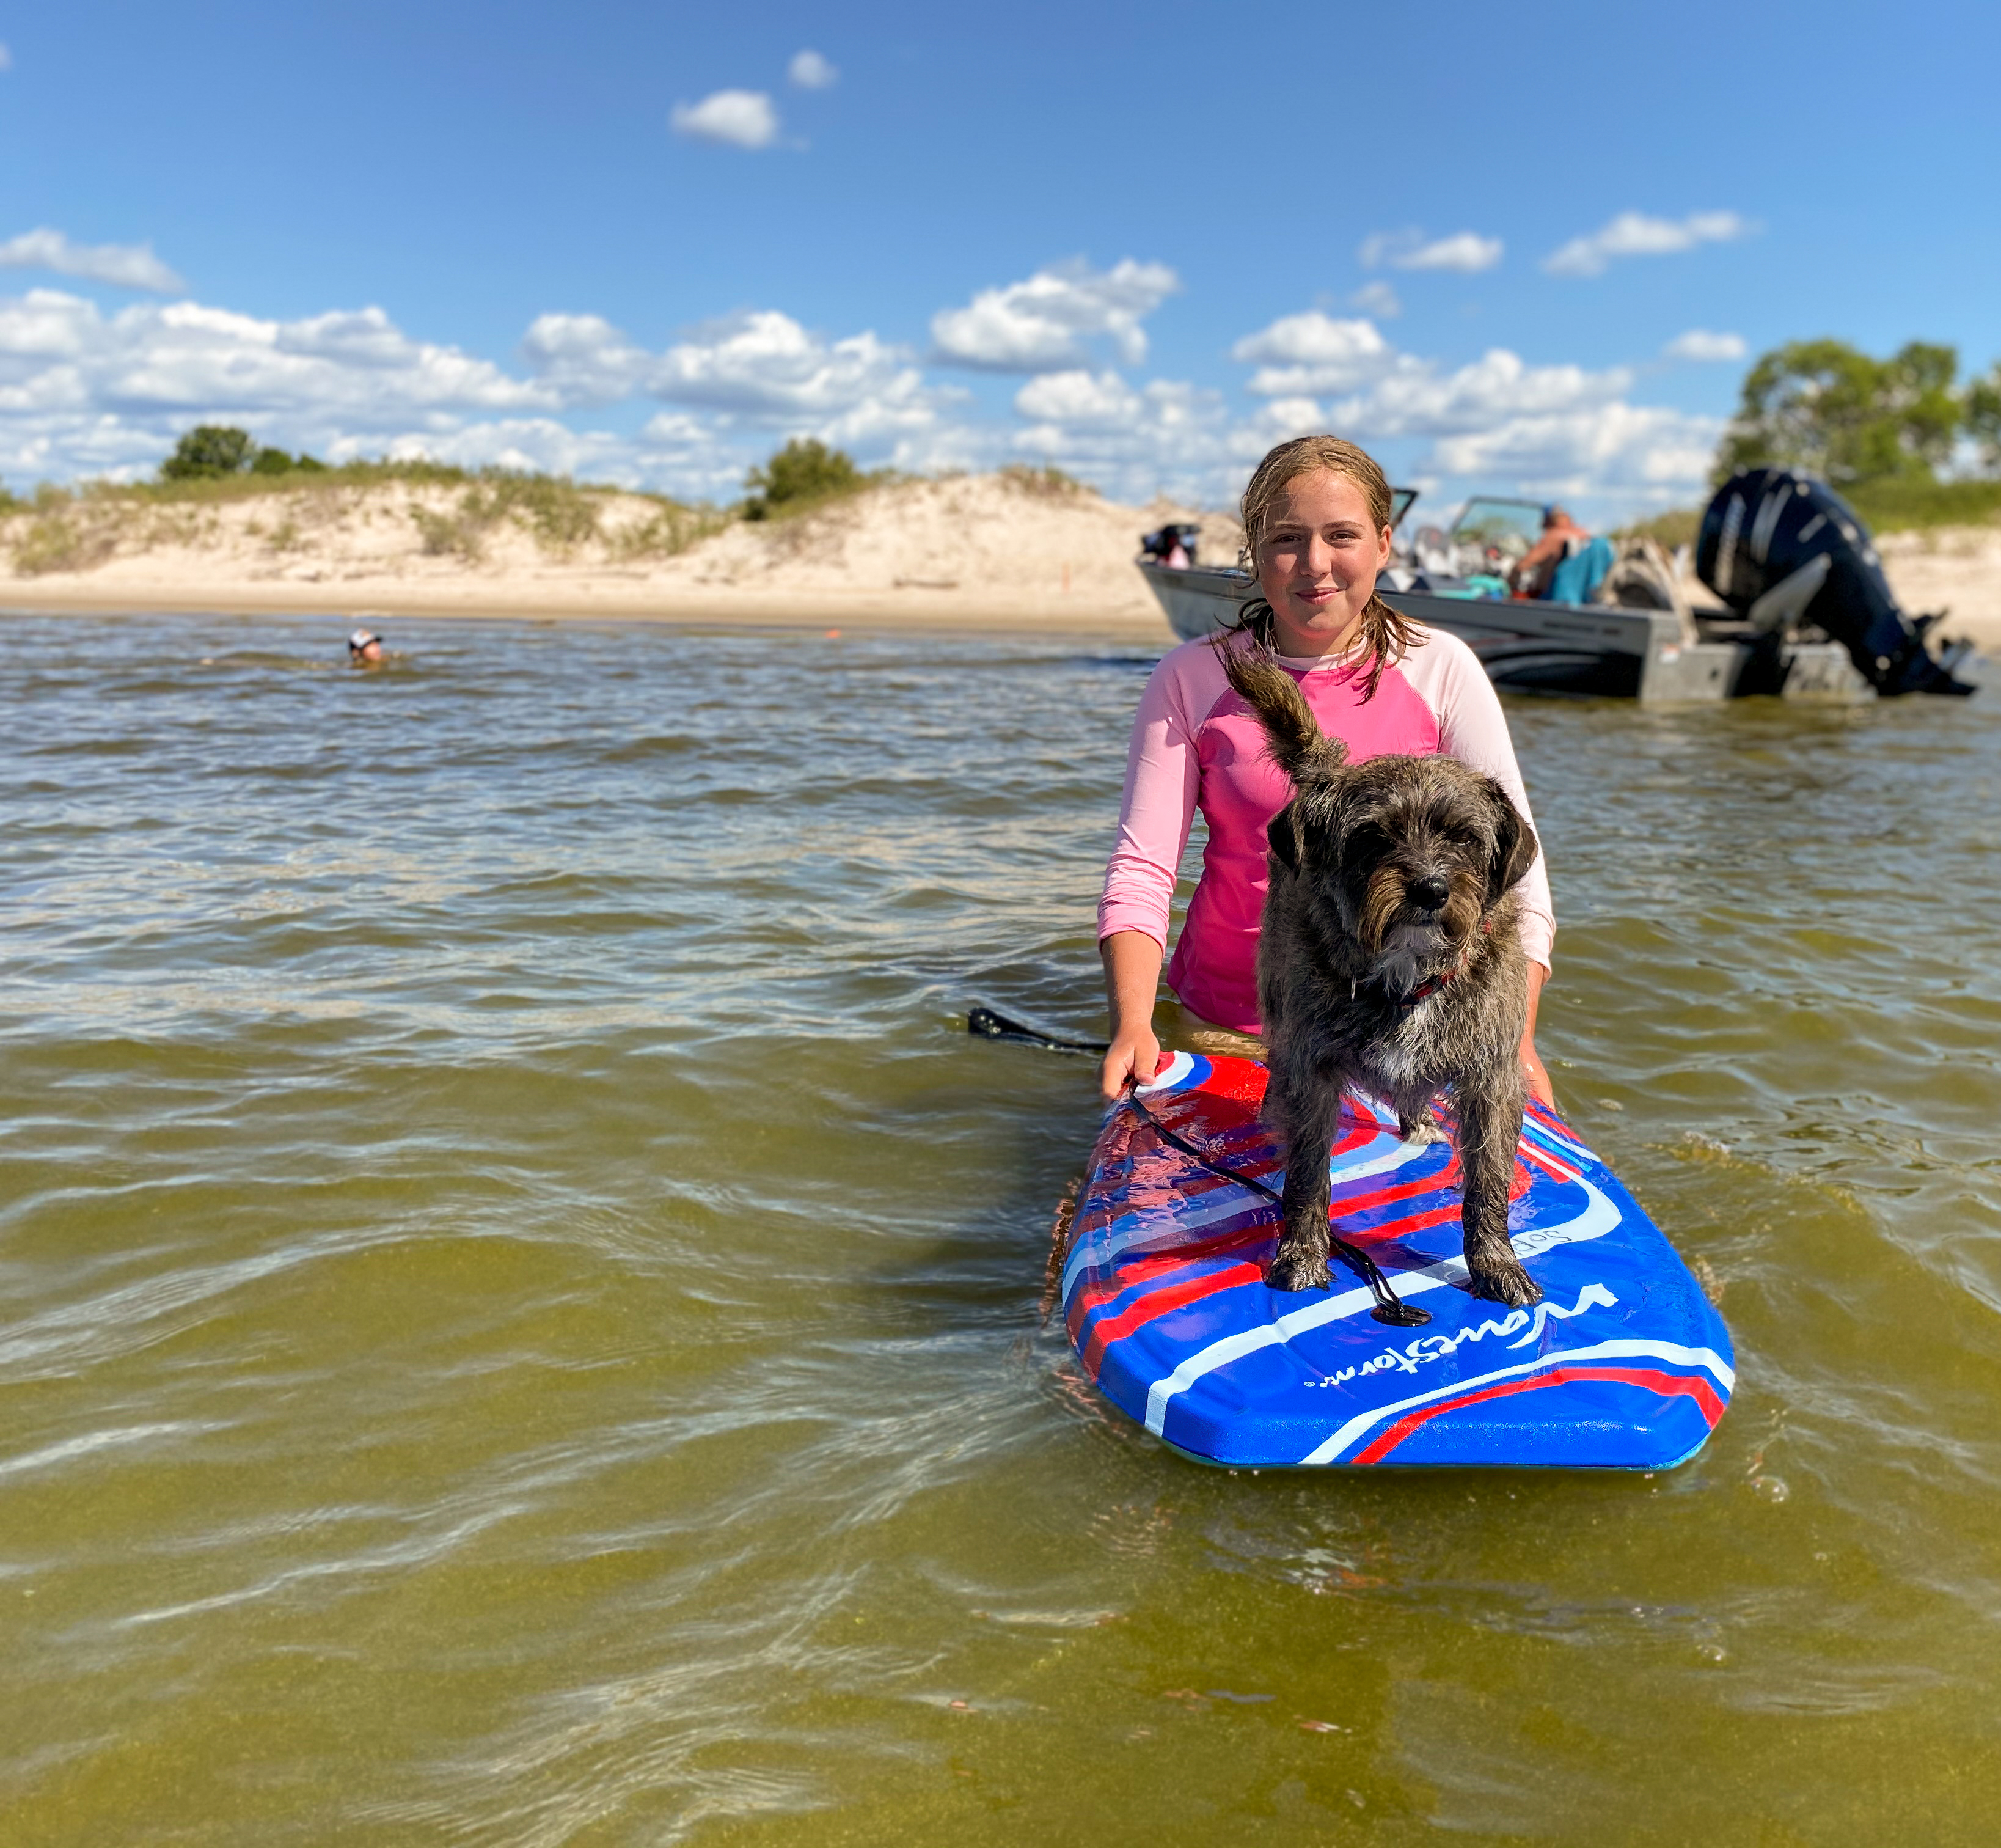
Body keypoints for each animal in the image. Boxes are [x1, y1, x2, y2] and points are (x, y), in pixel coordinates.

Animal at [1216, 648, 1545, 1313]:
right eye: (1372, 835)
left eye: (1463, 836)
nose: (1429, 889)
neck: (1407, 975)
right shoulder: (1313, 1073)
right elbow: (1307, 1174)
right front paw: (1303, 1255)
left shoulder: (1490, 1082)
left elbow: (1489, 1182)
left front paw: (1495, 1264)